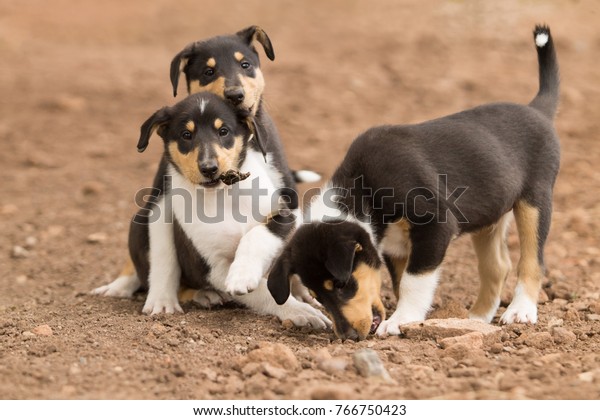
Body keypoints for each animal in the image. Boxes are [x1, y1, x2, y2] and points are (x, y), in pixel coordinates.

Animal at [94, 92, 330, 328]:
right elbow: (263, 291)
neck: (223, 196)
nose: (209, 168)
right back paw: (200, 295)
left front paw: (243, 274)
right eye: (186, 135)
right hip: (141, 221)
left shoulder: (285, 215)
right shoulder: (211, 266)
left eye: (223, 131)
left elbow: (257, 235)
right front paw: (298, 311)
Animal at [268, 25, 564, 342]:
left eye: (341, 284)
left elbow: (413, 281)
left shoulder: (435, 226)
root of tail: (537, 110)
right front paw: (404, 319)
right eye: (316, 295)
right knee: (497, 267)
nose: (349, 337)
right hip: (490, 215)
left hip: (535, 201)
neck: (363, 192)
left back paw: (521, 312)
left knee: (532, 262)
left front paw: (401, 321)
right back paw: (477, 318)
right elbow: (399, 283)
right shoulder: (395, 247)